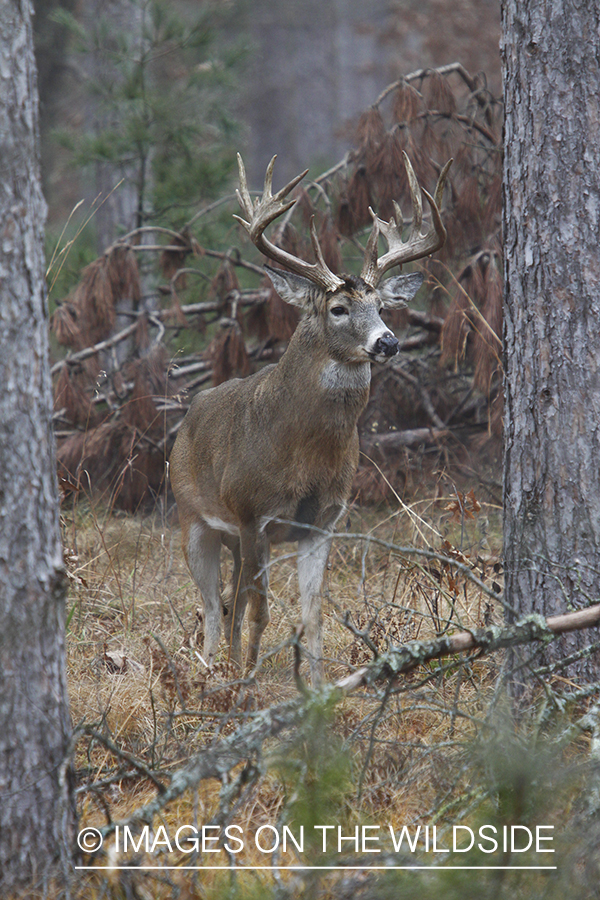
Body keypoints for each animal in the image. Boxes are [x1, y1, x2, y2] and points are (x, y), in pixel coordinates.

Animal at [169, 151, 450, 684]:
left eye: (381, 306)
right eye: (338, 308)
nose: (388, 341)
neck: (304, 453)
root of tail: (189, 415)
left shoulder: (322, 520)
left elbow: (312, 613)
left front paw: (318, 688)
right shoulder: (253, 512)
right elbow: (260, 612)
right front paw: (247, 685)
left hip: (233, 537)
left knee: (229, 601)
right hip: (195, 516)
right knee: (214, 607)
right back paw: (214, 672)